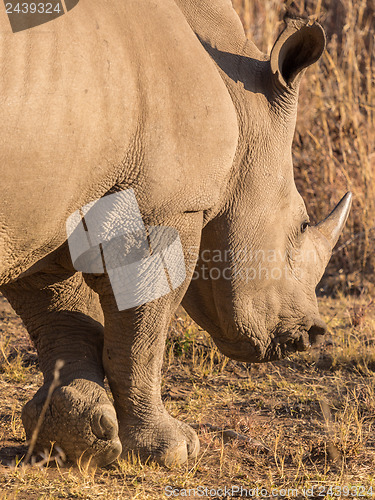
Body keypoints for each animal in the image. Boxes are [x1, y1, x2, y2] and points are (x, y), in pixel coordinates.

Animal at [0, 0, 352, 466]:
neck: (239, 100)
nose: (313, 335)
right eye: (301, 225)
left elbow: (57, 310)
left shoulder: (47, 206)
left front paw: (72, 439)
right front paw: (172, 450)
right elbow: (144, 330)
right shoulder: (166, 206)